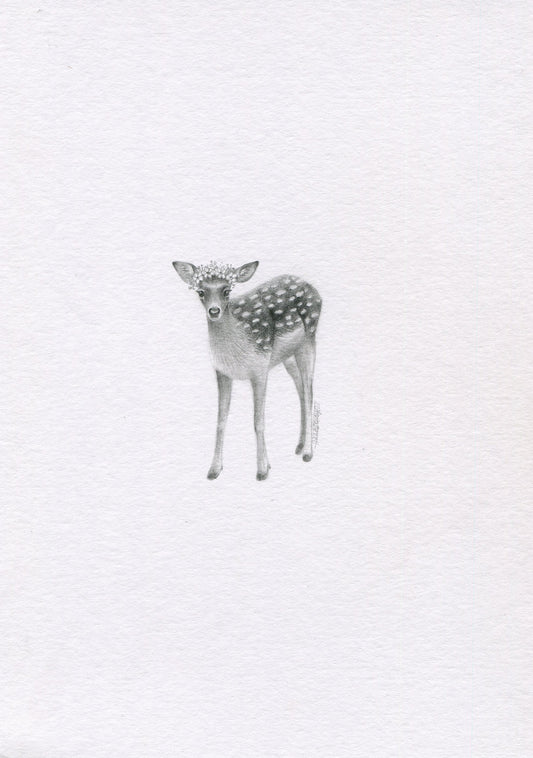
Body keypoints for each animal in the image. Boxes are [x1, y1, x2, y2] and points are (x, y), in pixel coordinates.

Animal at [172, 260, 321, 480]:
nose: (214, 311)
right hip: (287, 356)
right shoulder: (222, 372)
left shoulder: (259, 369)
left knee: (309, 390)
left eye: (226, 290)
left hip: (309, 338)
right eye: (201, 291)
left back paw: (308, 453)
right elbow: (221, 420)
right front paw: (214, 470)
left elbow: (258, 421)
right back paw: (299, 445)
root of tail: (314, 289)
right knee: (301, 390)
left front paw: (262, 471)